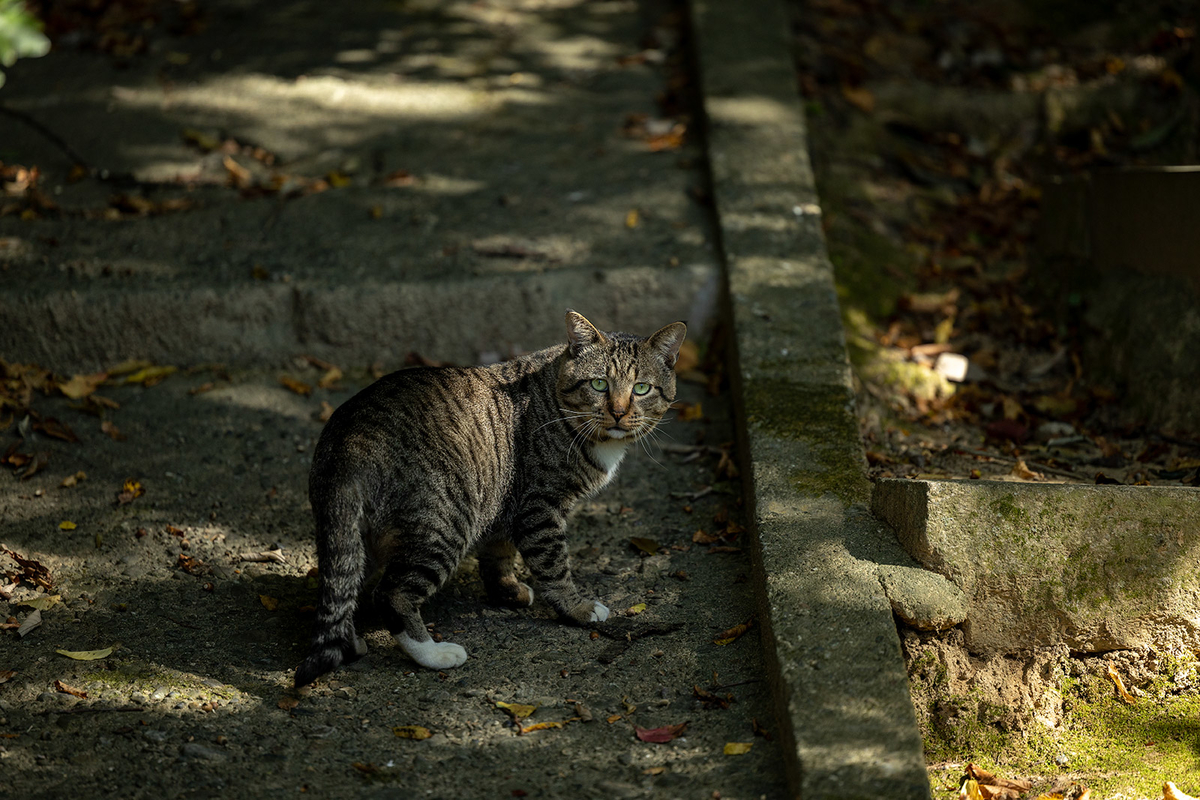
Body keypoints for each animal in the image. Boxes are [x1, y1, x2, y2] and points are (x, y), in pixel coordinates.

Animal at [292, 309, 686, 686]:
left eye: (641, 389)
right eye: (599, 383)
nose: (618, 412)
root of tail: (348, 439)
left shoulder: (505, 502)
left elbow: (498, 553)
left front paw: (507, 592)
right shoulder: (538, 506)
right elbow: (554, 566)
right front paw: (578, 609)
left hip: (360, 537)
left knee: (343, 585)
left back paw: (350, 641)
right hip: (445, 522)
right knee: (391, 594)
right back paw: (432, 653)